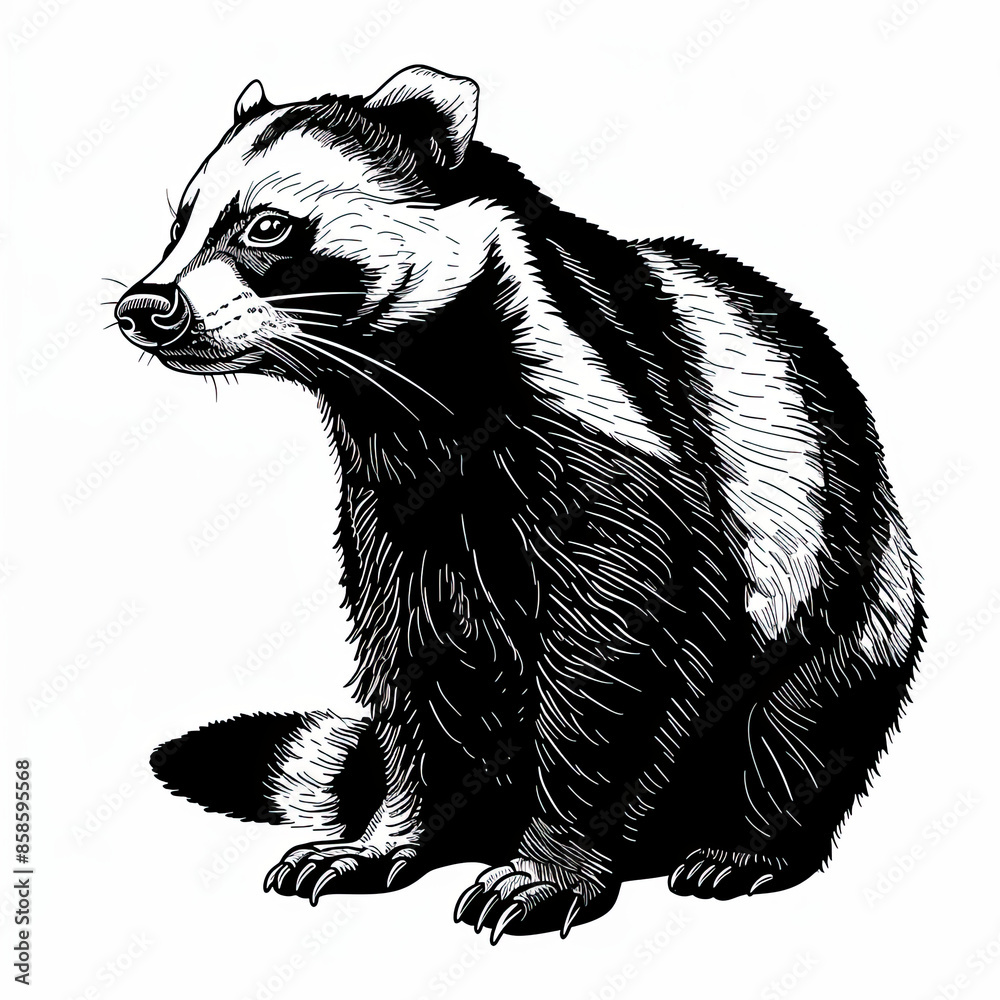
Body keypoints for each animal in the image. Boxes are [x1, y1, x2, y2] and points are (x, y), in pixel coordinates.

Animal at [117, 65, 925, 942]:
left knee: (804, 718)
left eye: (266, 227)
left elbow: (622, 642)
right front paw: (389, 833)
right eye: (178, 225)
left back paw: (746, 842)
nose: (145, 307)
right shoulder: (395, 506)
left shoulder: (611, 428)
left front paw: (550, 865)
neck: (418, 401)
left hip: (843, 574)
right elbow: (411, 658)